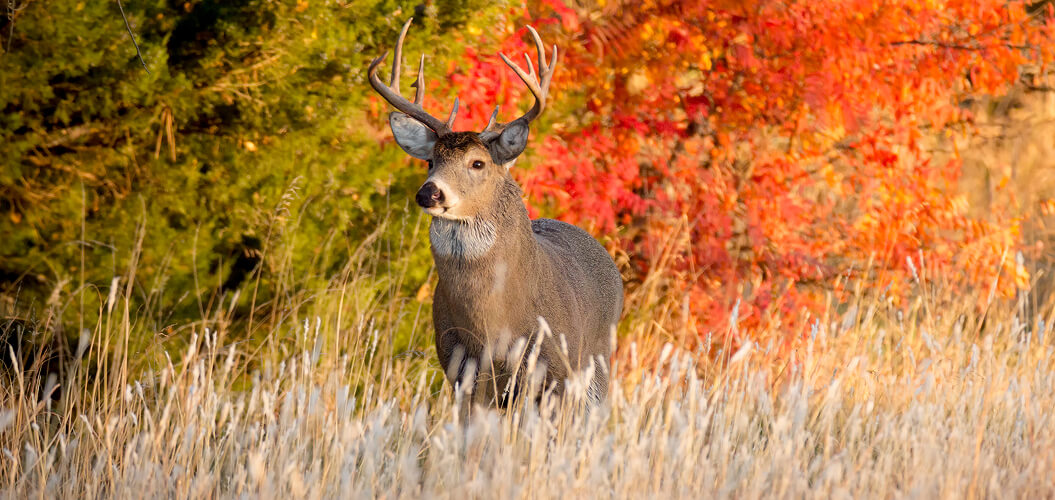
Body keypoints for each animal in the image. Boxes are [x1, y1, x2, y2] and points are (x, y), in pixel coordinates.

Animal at [368, 19, 623, 415]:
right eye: (430, 161)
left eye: (478, 163)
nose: (429, 192)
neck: (493, 324)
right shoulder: (462, 372)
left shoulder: (555, 371)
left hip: (595, 365)